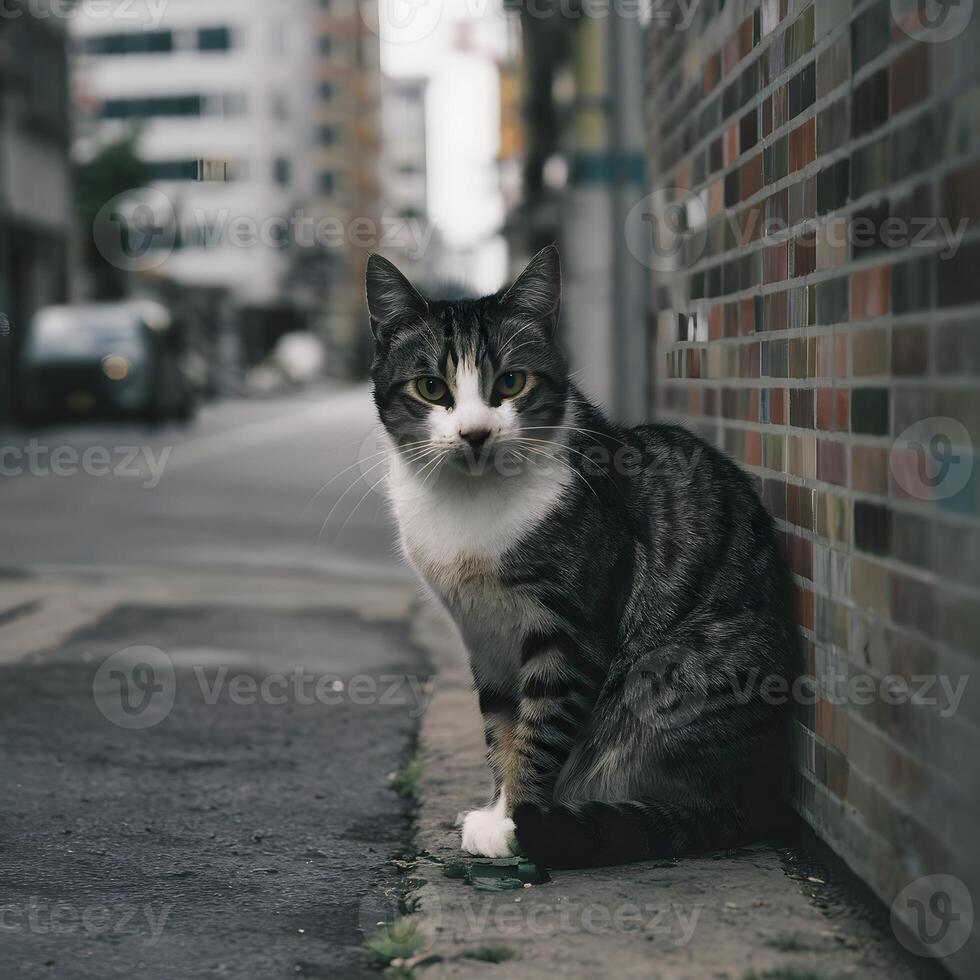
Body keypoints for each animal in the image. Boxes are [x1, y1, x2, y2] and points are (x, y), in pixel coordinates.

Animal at [366, 249, 796, 868]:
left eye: (511, 381)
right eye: (430, 387)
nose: (474, 434)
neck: (469, 502)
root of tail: (755, 797)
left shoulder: (567, 625)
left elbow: (542, 725)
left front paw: (517, 821)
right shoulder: (483, 634)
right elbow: (502, 725)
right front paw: (500, 810)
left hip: (671, 672)